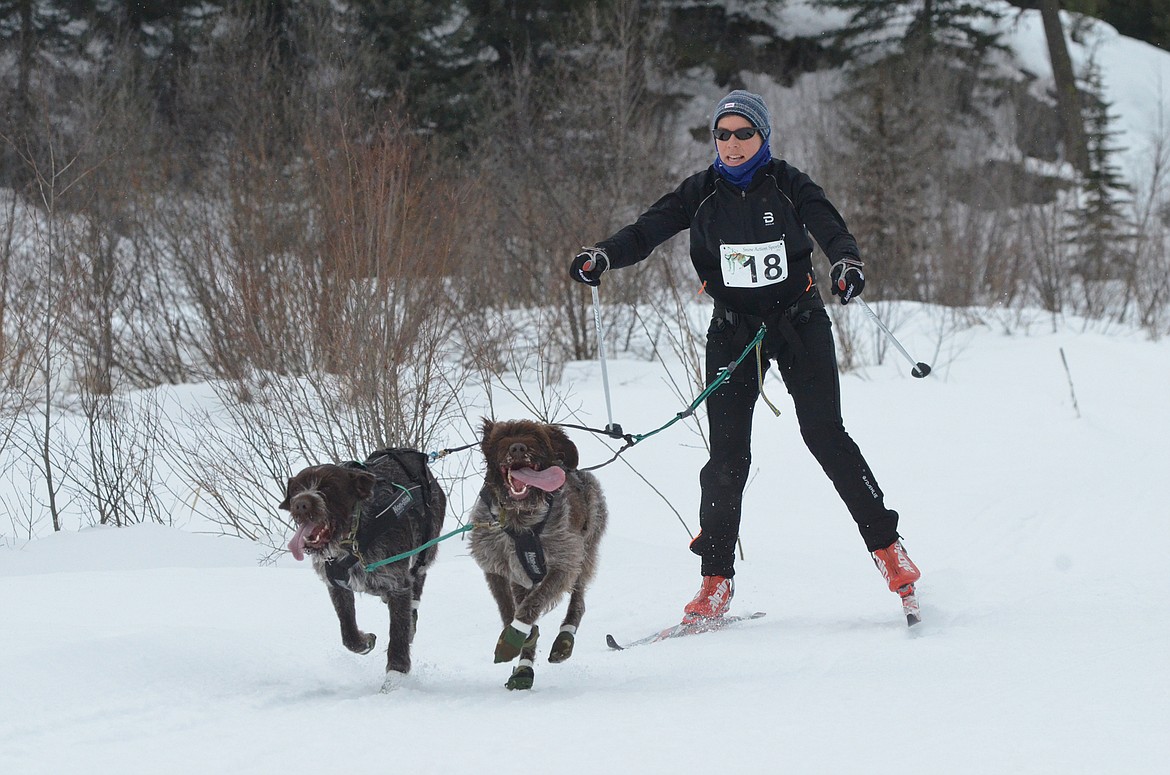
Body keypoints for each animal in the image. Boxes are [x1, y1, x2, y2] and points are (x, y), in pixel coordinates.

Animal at [280, 449, 444, 693]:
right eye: (297, 489)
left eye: (328, 487)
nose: (301, 504)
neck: (352, 539)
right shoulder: (336, 585)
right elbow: (348, 632)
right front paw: (364, 641)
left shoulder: (397, 584)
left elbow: (398, 634)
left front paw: (395, 677)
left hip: (424, 553)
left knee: (416, 589)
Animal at [467, 419, 608, 693]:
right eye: (502, 437)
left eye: (536, 436)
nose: (518, 448)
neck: (519, 517)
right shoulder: (494, 566)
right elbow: (509, 610)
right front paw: (522, 639)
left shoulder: (564, 563)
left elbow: (531, 606)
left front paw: (515, 635)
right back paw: (524, 670)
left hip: (587, 548)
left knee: (578, 601)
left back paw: (564, 637)